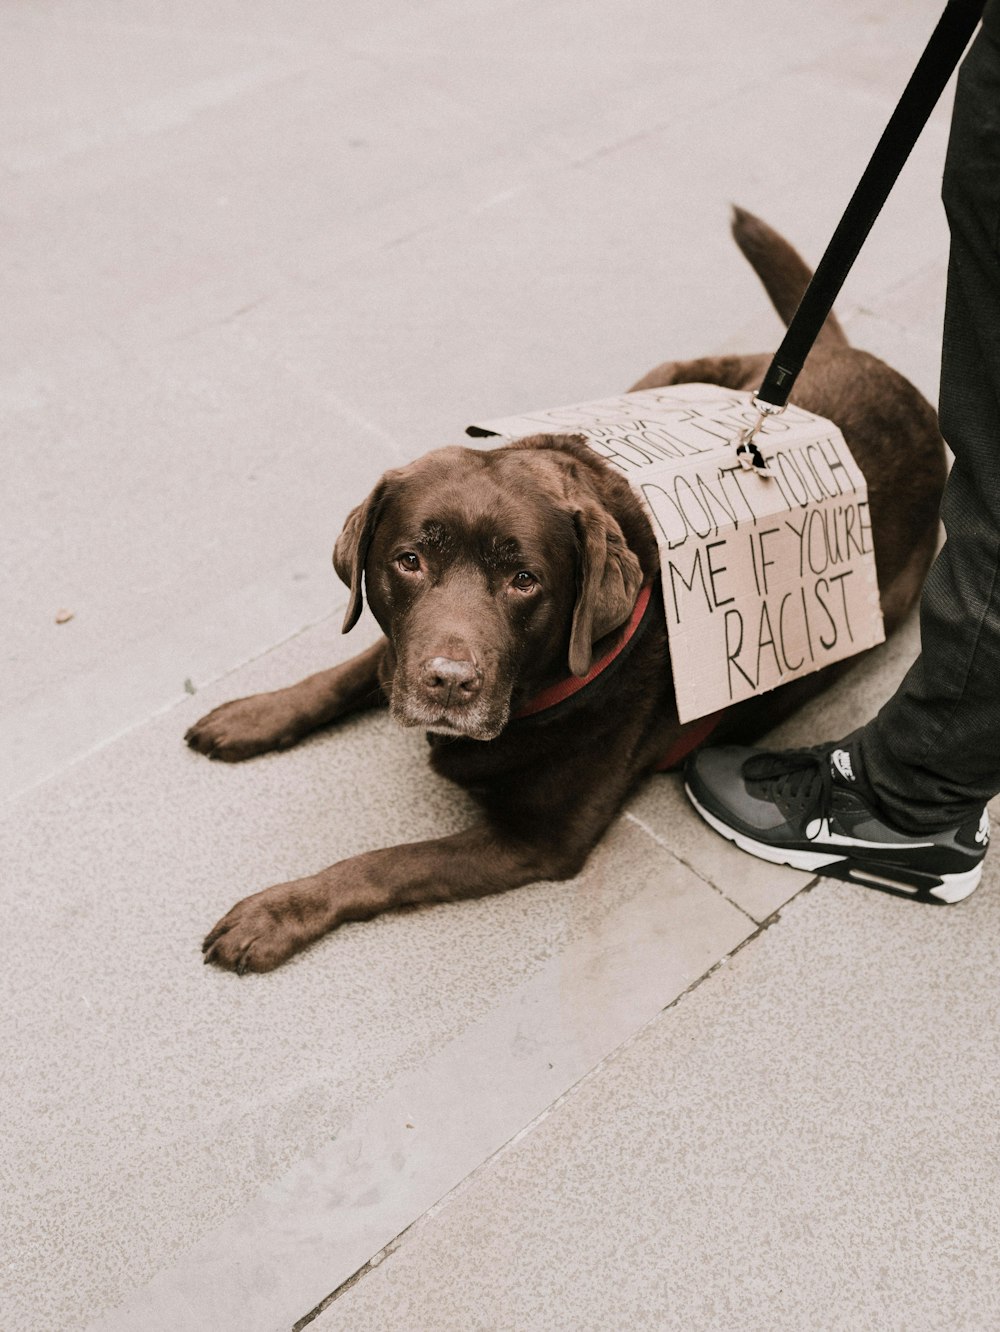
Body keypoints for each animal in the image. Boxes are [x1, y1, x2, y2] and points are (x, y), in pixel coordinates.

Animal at [187, 213, 948, 975]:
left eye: (524, 581)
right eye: (409, 561)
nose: (449, 681)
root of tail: (878, 368)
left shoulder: (537, 842)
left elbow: (385, 863)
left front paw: (279, 911)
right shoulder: (399, 649)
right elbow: (350, 669)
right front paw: (255, 713)